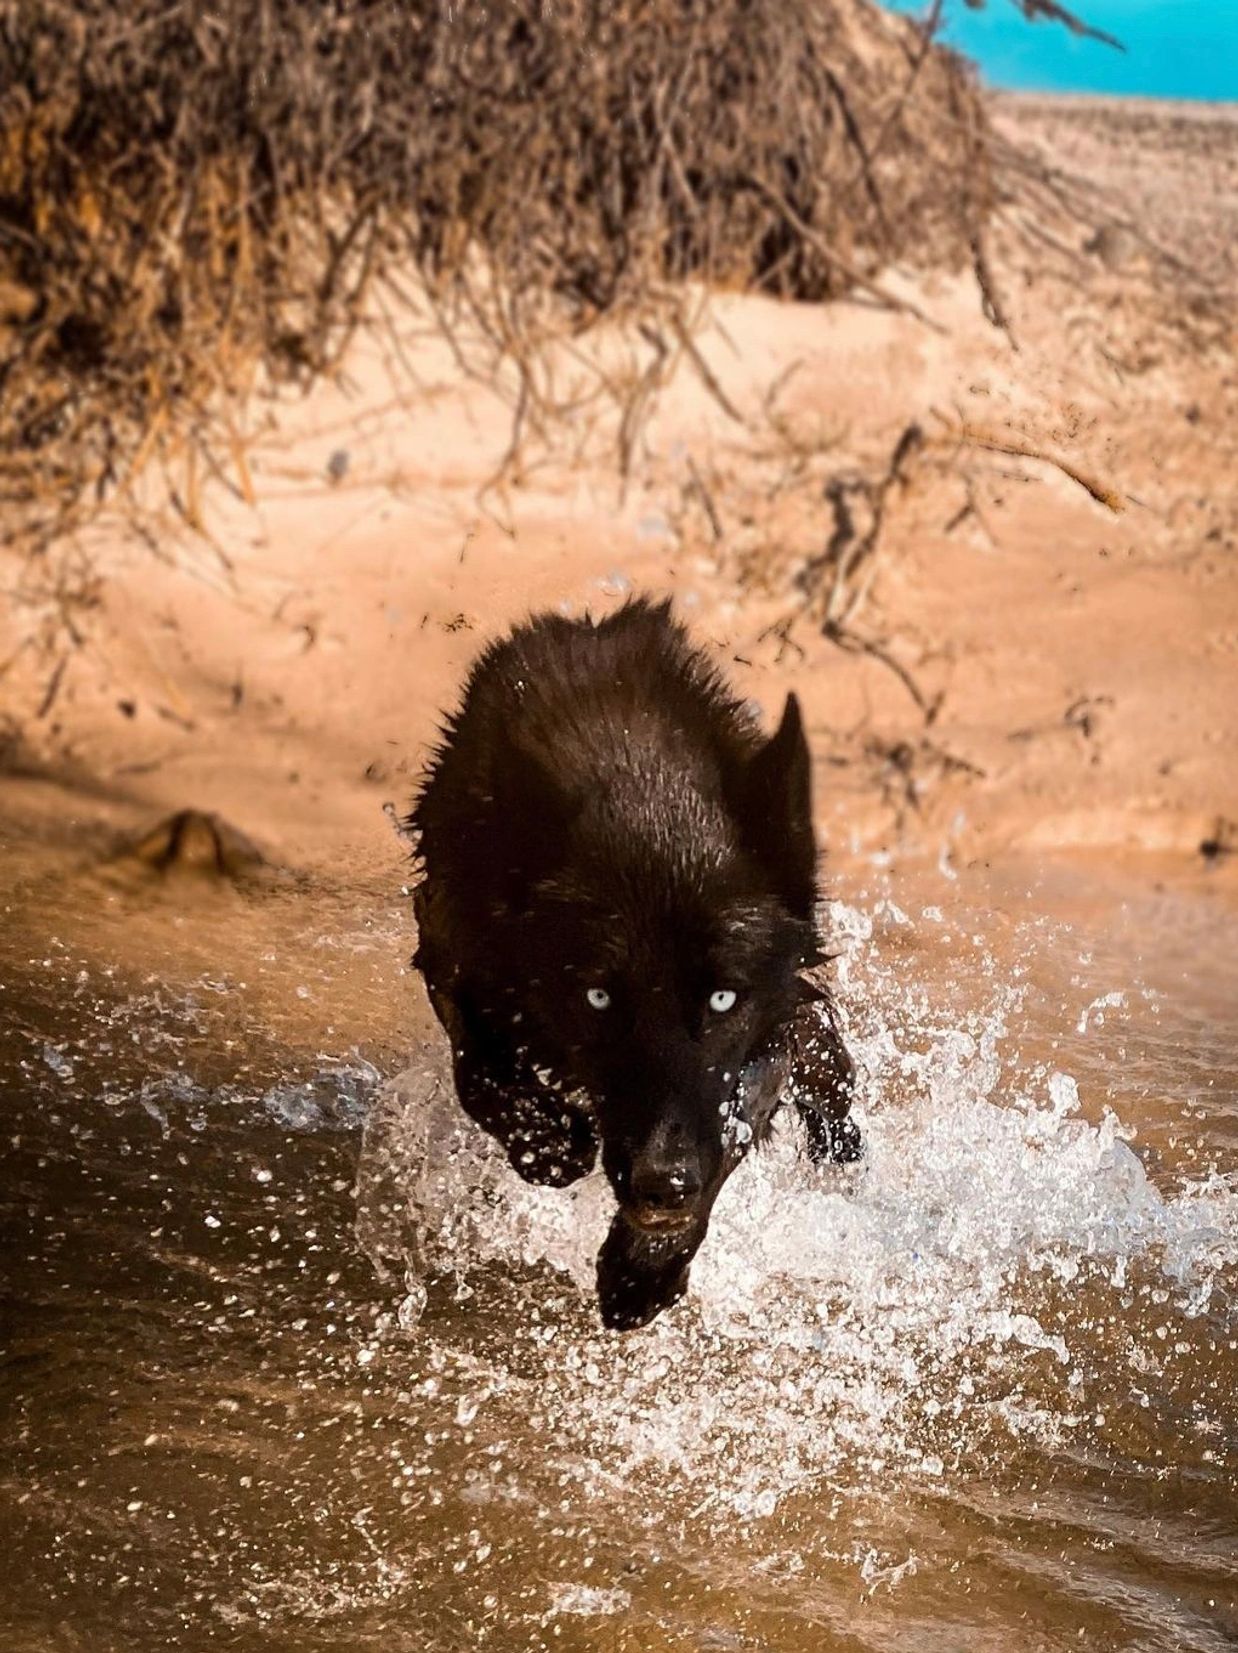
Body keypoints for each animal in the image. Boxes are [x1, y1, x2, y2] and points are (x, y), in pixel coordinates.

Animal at [409, 598, 852, 1329]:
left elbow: (736, 1114)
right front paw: (547, 1143)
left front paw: (645, 1266)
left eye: (724, 999)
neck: (640, 779)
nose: (661, 1183)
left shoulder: (765, 1035)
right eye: (597, 998)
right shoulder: (450, 949)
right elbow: (478, 1070)